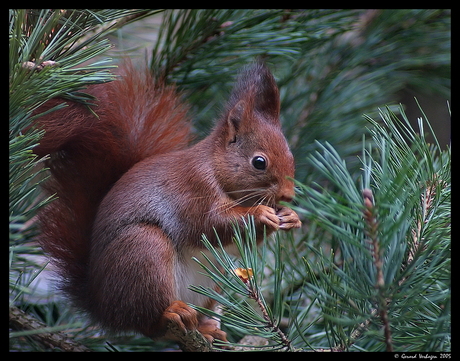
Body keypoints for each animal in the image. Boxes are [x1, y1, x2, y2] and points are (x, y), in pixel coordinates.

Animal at [35, 60, 302, 344]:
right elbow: (209, 224)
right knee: (148, 322)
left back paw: (207, 329)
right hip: (143, 250)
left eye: (290, 155)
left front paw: (291, 217)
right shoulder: (192, 189)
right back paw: (171, 313)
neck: (215, 169)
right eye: (259, 162)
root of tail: (101, 306)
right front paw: (260, 214)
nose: (288, 195)